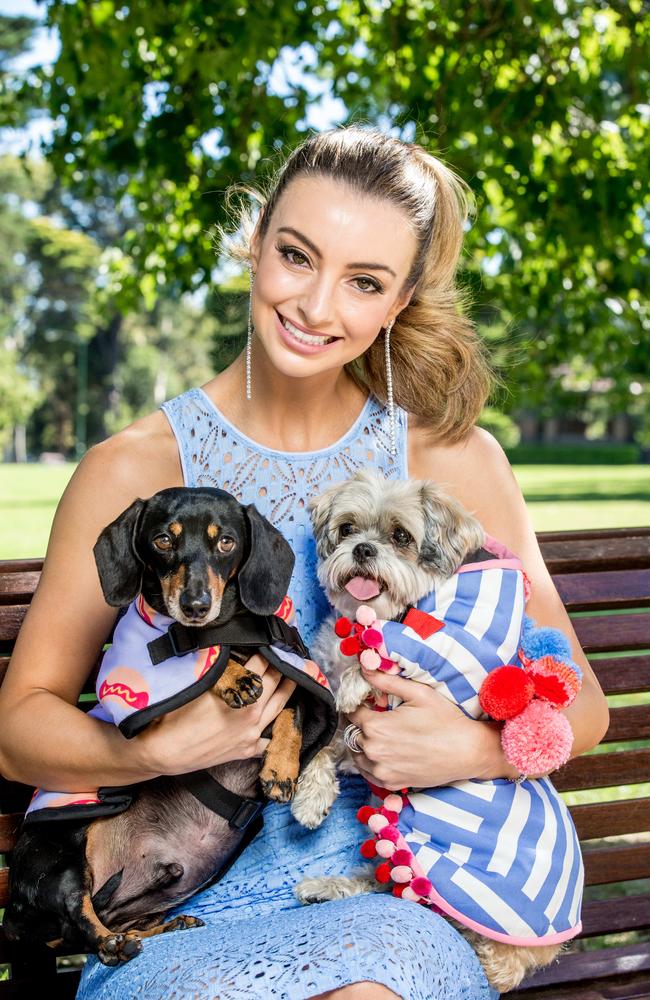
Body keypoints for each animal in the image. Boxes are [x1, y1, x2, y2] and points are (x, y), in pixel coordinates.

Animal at [288, 472, 556, 996]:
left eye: (401, 537)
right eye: (347, 528)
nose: (364, 549)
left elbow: (377, 667)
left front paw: (359, 676)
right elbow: (325, 741)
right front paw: (311, 797)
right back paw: (326, 888)